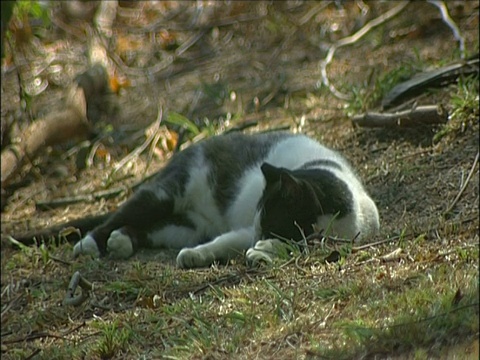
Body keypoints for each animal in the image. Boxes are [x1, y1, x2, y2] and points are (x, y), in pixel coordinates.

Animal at [72, 131, 378, 268]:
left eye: (271, 227)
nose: (258, 239)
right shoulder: (247, 227)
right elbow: (224, 242)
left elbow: (230, 242)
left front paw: (263, 251)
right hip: (165, 194)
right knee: (121, 215)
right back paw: (89, 244)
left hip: (185, 228)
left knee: (150, 229)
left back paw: (121, 241)